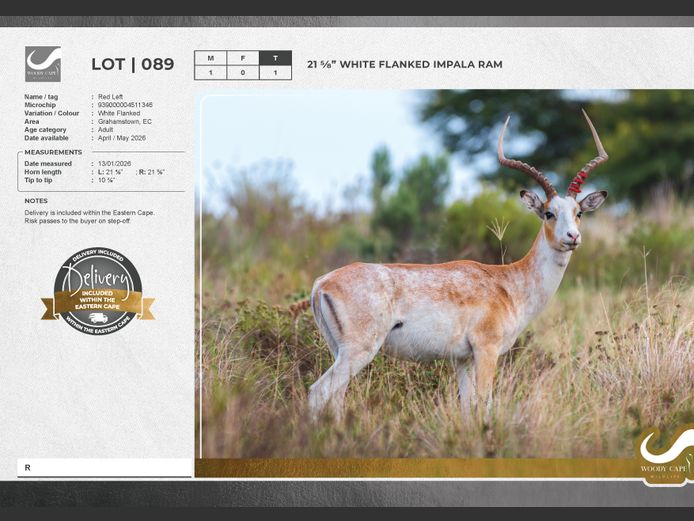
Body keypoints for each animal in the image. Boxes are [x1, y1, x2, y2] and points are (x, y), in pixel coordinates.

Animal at [306, 110, 609, 420]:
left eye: (579, 212)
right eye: (549, 212)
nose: (572, 237)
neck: (508, 283)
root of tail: (322, 284)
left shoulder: (462, 359)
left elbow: (466, 406)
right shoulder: (486, 350)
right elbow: (485, 403)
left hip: (340, 351)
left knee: (336, 398)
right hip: (359, 351)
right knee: (318, 392)